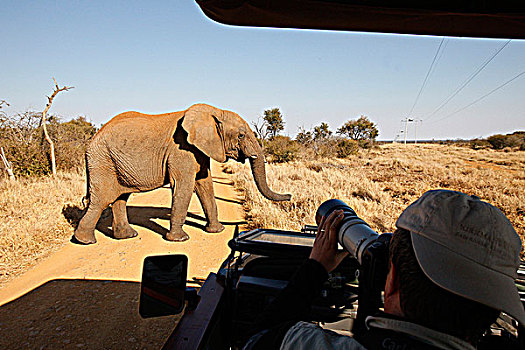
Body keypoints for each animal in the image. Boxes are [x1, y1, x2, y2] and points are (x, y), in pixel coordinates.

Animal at [74, 103, 290, 243]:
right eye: (241, 135)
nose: (289, 196)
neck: (214, 112)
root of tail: (91, 140)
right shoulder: (181, 150)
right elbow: (184, 186)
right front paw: (179, 240)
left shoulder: (198, 149)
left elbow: (205, 185)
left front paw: (216, 231)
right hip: (102, 162)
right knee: (102, 199)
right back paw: (85, 241)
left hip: (115, 163)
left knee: (120, 198)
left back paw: (127, 236)